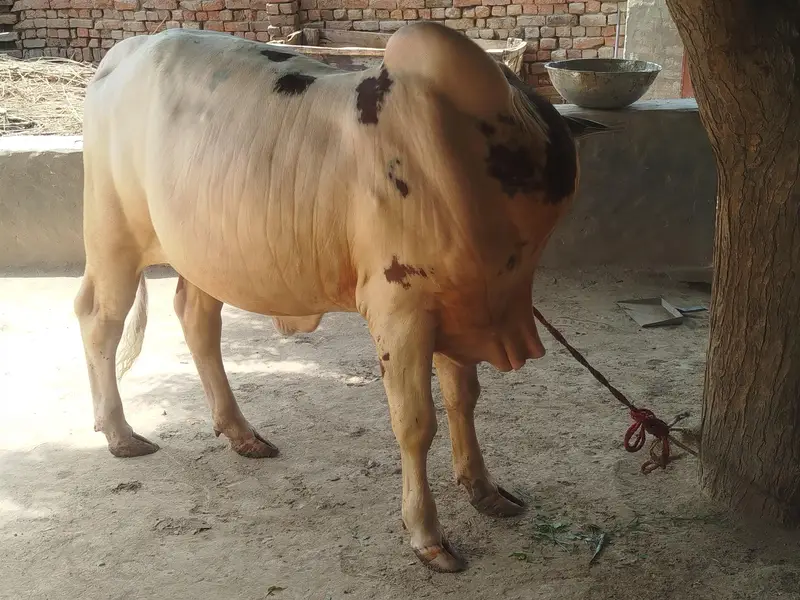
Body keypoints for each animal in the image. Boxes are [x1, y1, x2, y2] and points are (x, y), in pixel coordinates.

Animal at [74, 22, 608, 572]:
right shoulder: (401, 311)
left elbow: (464, 400)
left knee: (197, 319)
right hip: (113, 236)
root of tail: (125, 51)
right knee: (99, 319)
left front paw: (483, 490)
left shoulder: (460, 307)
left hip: (204, 252)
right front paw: (427, 535)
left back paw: (241, 433)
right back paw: (119, 433)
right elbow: (416, 423)